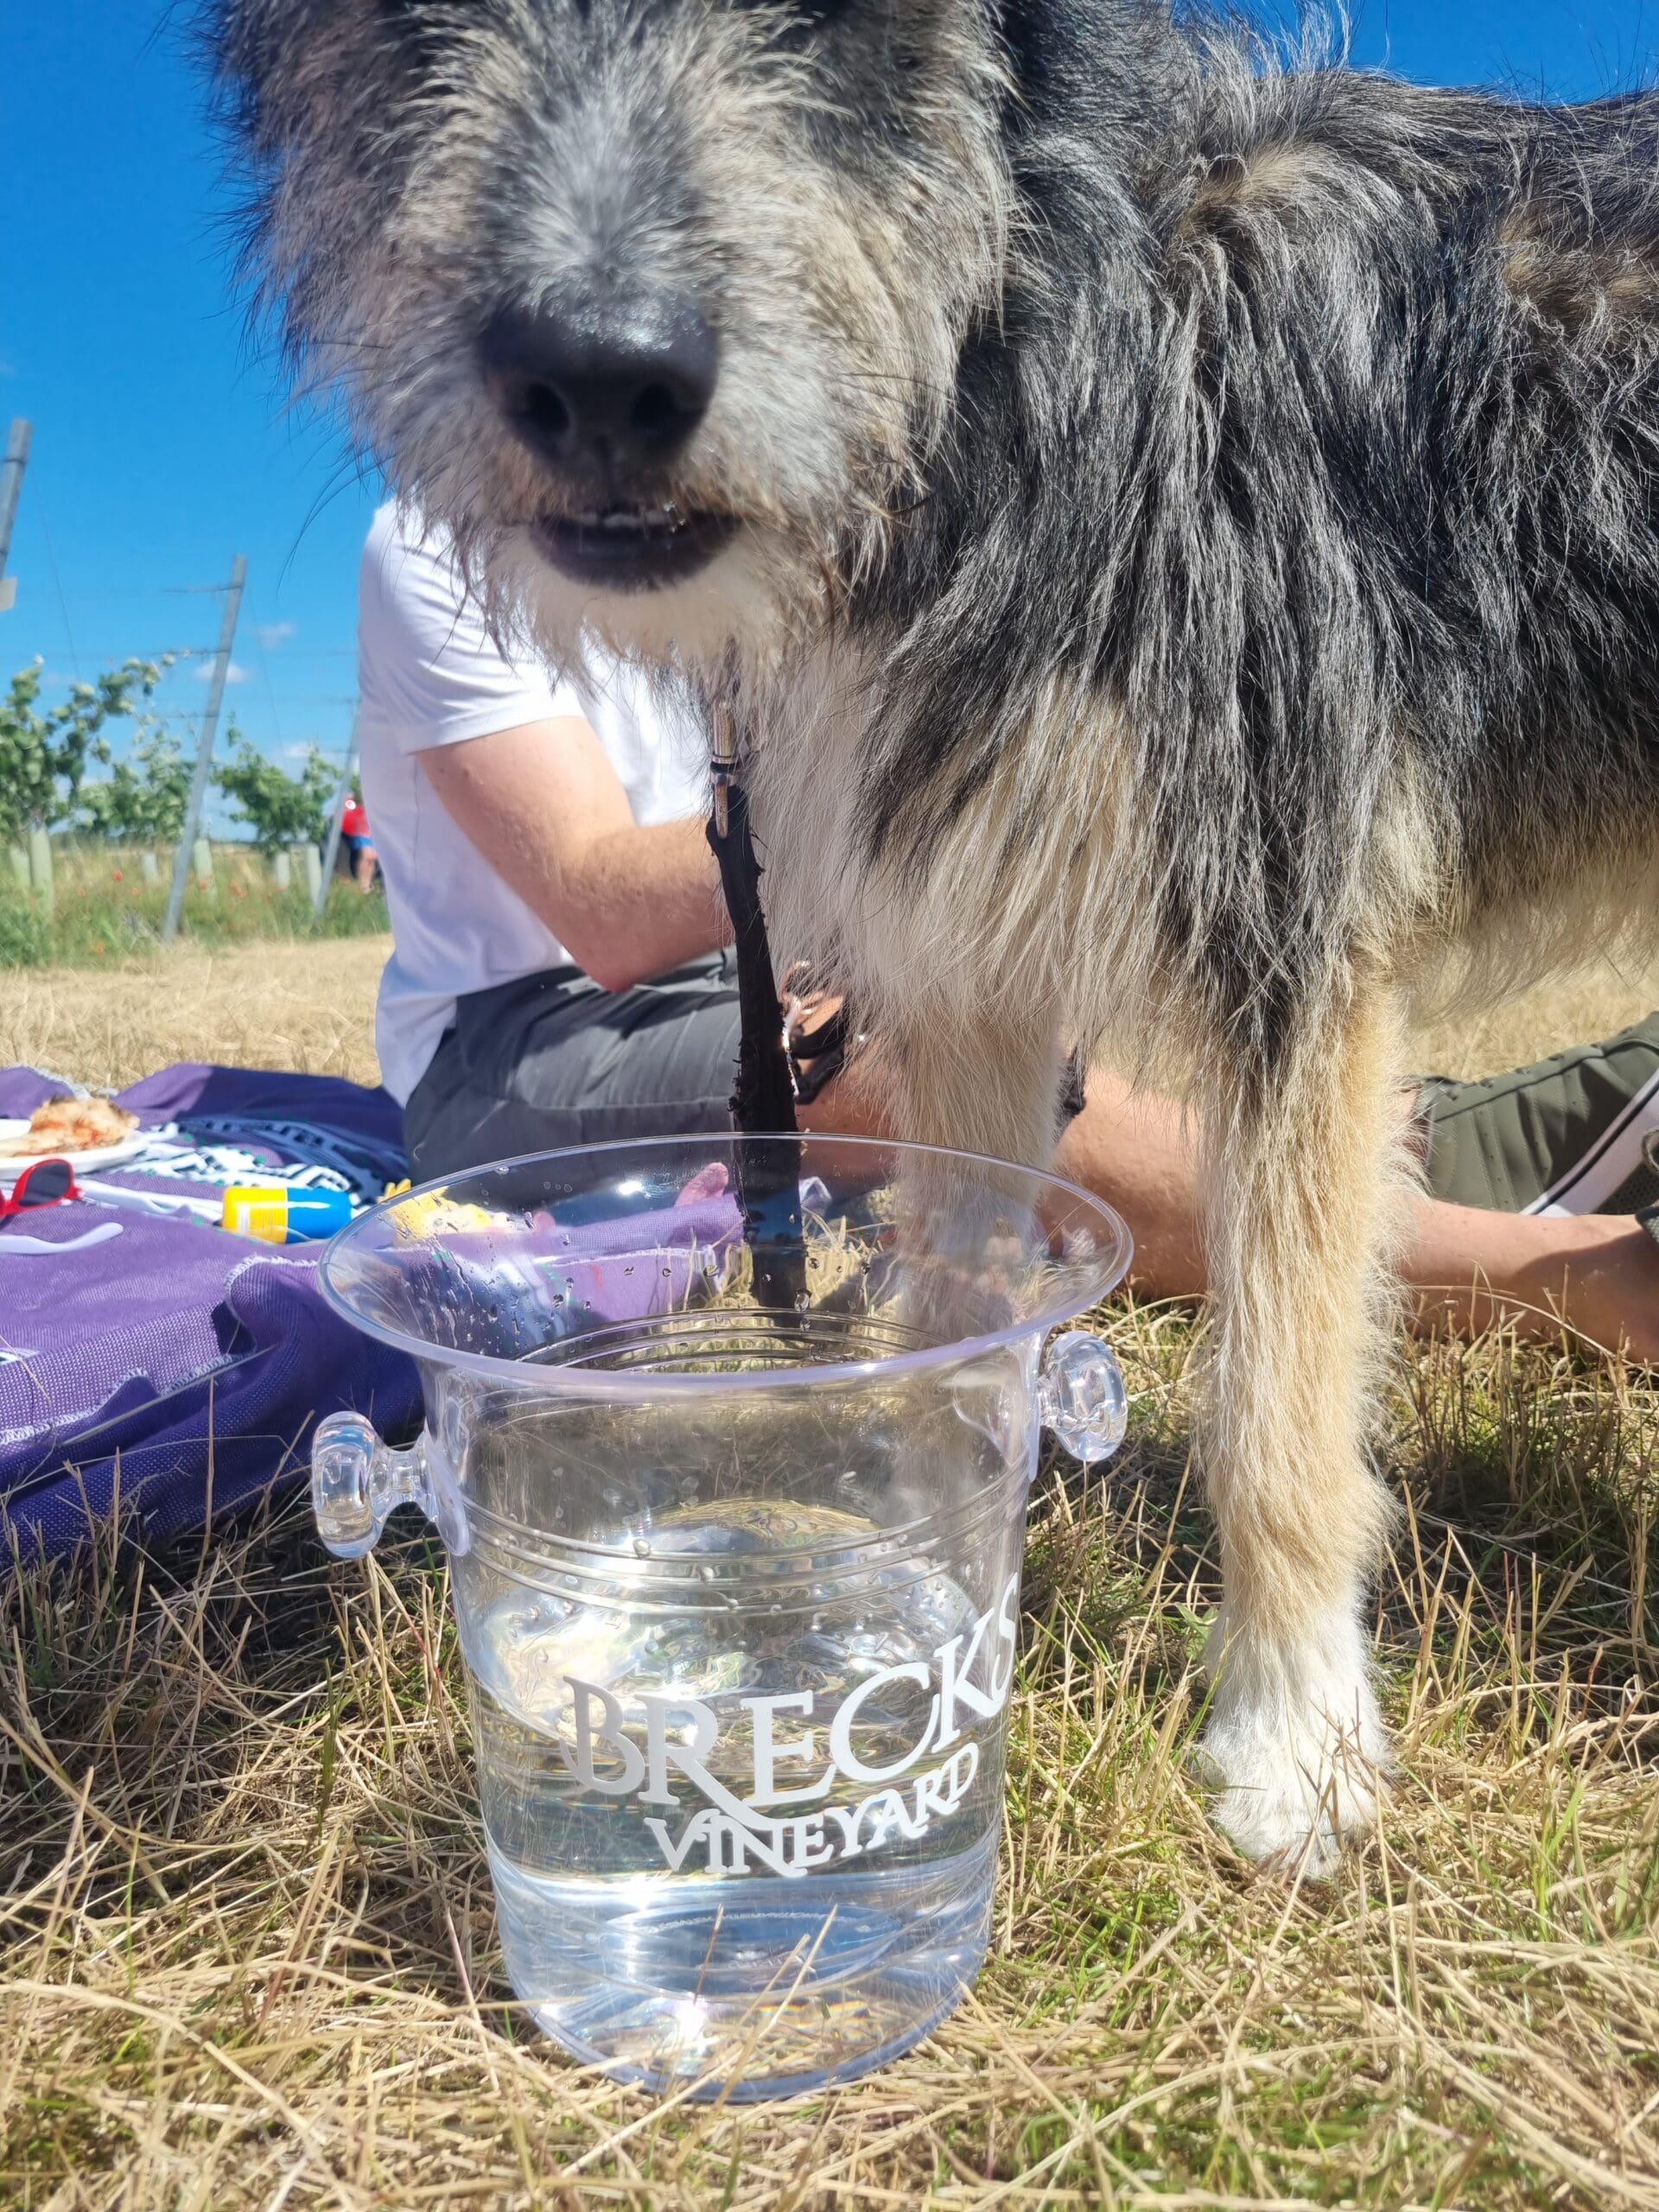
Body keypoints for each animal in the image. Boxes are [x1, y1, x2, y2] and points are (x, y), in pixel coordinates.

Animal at [206, 0, 1659, 1873]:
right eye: (409, 25)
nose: (597, 383)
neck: (1027, 347)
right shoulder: (969, 969)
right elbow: (947, 1304)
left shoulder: (1300, 944)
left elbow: (1278, 1399)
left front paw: (1291, 1742)